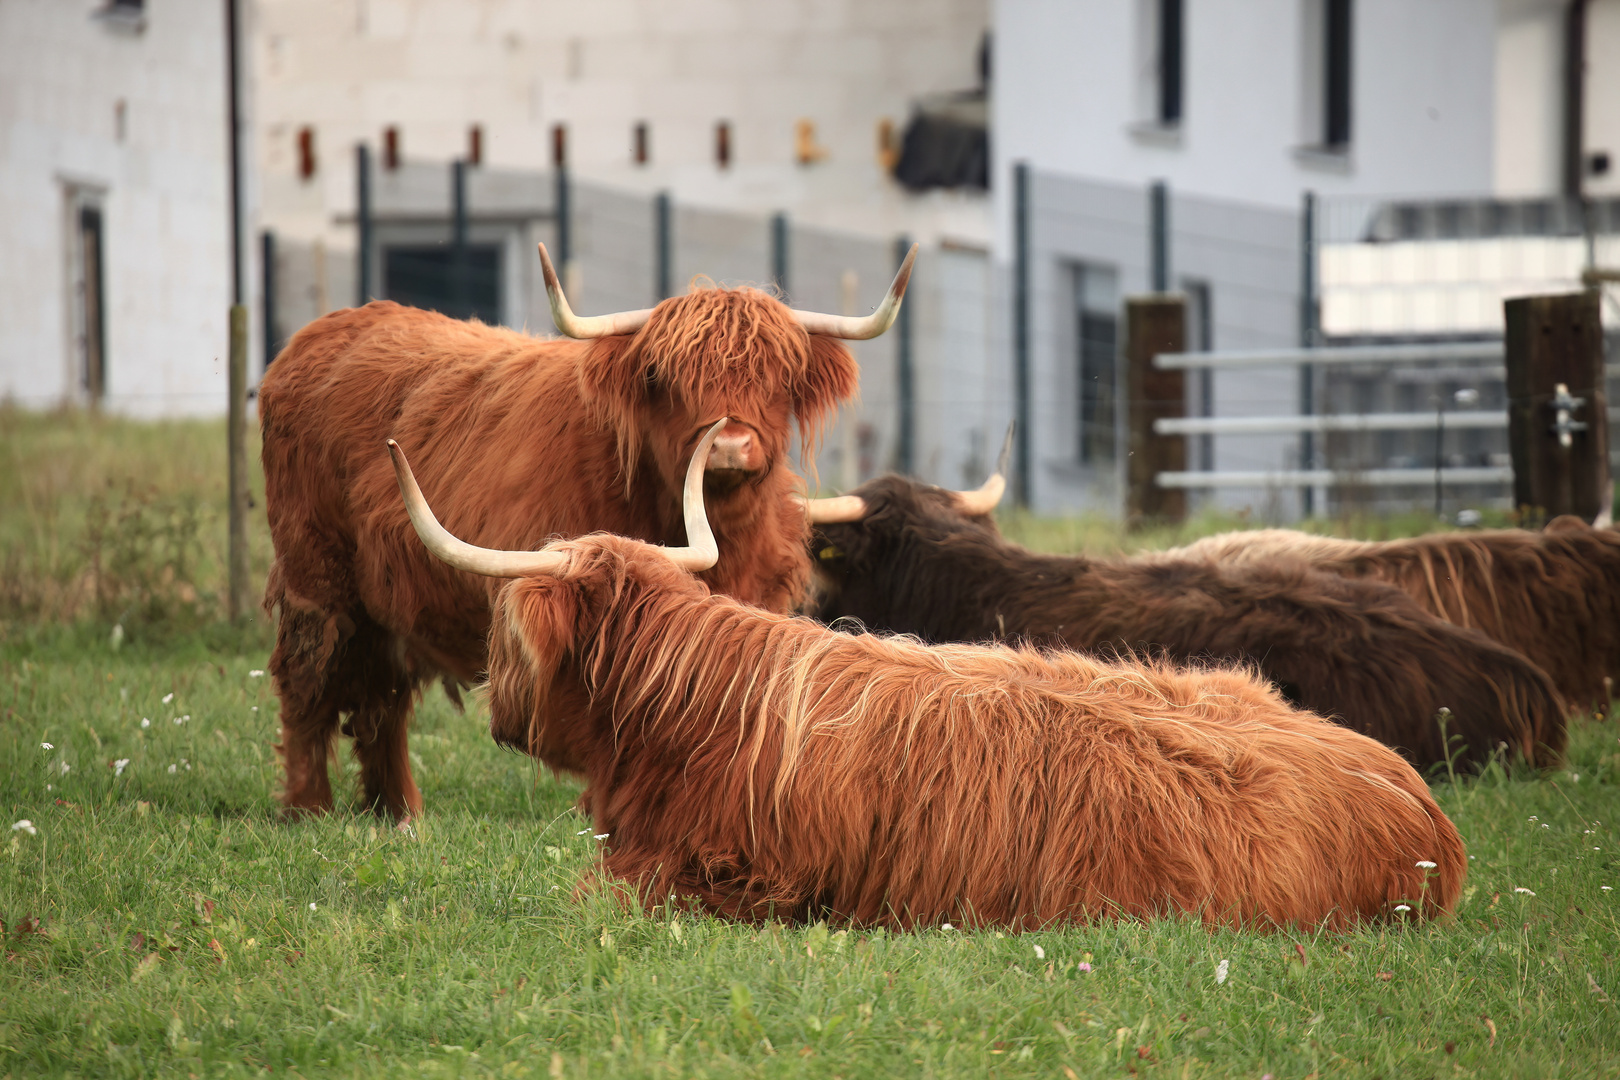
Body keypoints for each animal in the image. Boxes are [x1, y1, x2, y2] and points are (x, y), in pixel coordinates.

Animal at [255, 247, 913, 819]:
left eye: (779, 377)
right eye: (663, 376)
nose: (729, 443)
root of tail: (326, 330)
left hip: (385, 604)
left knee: (382, 698)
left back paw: (397, 813)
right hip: (318, 577)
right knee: (306, 678)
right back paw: (309, 808)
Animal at [382, 420, 1470, 932]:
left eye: (505, 629)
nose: (502, 716)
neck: (688, 704)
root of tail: (1420, 813)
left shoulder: (718, 879)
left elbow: (586, 895)